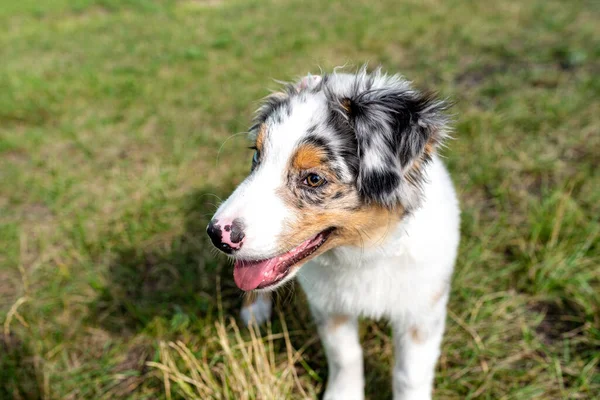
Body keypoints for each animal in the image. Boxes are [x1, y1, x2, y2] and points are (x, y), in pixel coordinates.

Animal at [206, 67, 460, 398]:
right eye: (257, 157)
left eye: (314, 179)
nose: (216, 234)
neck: (366, 254)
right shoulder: (328, 305)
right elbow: (345, 355)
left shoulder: (422, 309)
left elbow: (410, 374)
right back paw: (254, 310)